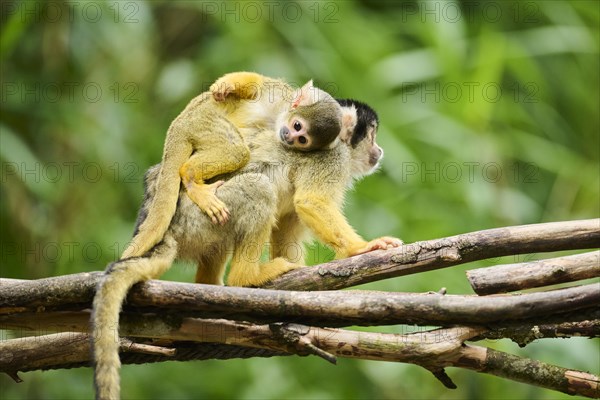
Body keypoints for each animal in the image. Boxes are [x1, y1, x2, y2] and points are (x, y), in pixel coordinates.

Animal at [120, 72, 346, 260]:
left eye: (303, 140)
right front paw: (226, 85)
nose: (289, 137)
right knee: (237, 151)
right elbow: (257, 85)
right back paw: (190, 175)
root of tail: (178, 125)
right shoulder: (279, 95)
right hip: (203, 123)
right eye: (297, 126)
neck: (278, 118)